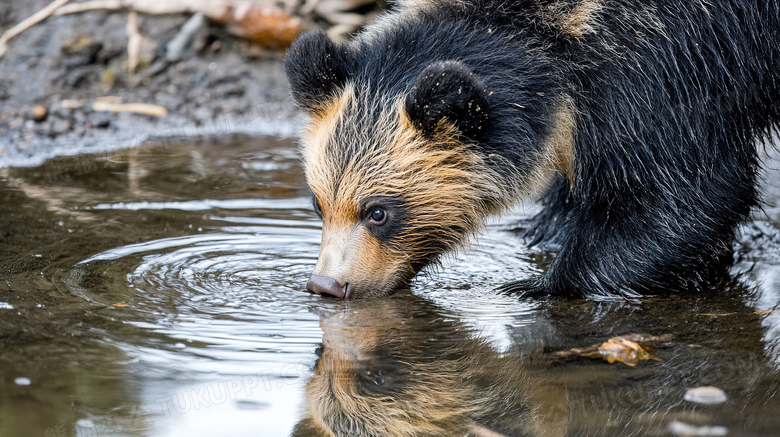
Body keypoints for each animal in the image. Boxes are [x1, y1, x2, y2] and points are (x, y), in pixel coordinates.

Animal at [284, 0, 780, 298]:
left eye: (378, 212)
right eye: (318, 204)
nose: (326, 285)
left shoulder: (671, 67)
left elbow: (684, 193)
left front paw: (535, 284)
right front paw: (547, 227)